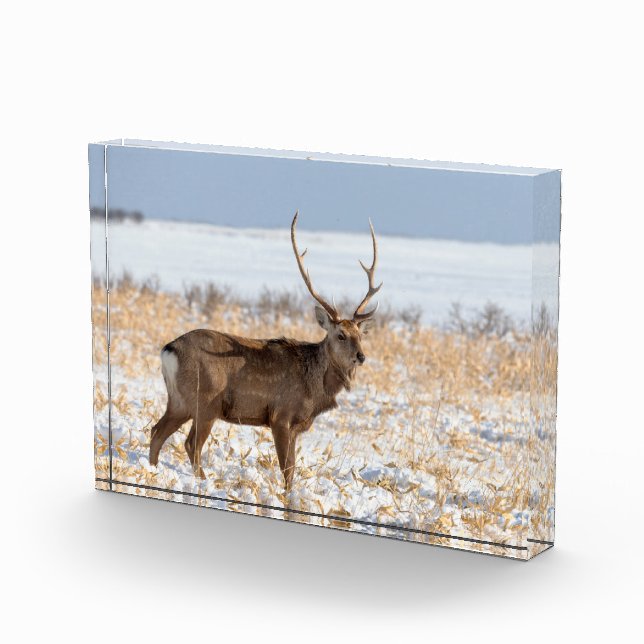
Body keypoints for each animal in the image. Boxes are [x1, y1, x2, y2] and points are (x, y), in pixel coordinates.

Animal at [148, 211, 382, 491]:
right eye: (341, 335)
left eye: (361, 335)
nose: (361, 356)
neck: (314, 390)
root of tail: (168, 350)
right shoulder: (280, 415)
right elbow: (287, 470)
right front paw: (288, 496)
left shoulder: (296, 425)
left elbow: (292, 468)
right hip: (205, 400)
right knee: (191, 444)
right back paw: (205, 484)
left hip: (180, 401)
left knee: (156, 431)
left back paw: (152, 472)